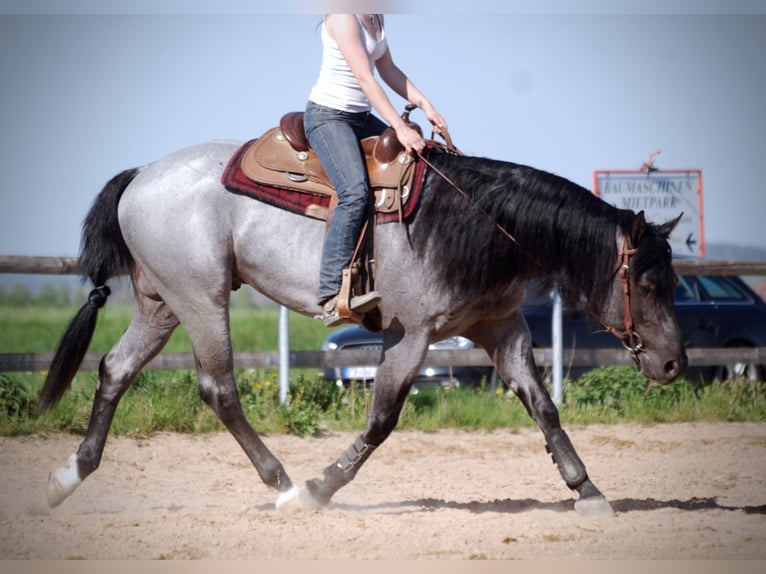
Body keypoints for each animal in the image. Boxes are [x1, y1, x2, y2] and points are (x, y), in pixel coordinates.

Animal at [39, 139, 687, 516]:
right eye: (647, 284)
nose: (675, 363)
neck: (474, 221)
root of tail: (142, 174)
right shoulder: (411, 335)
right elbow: (381, 420)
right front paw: (322, 486)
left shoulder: (501, 328)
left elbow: (543, 406)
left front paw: (588, 491)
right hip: (202, 298)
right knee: (218, 389)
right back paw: (285, 487)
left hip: (162, 303)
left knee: (115, 369)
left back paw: (70, 476)